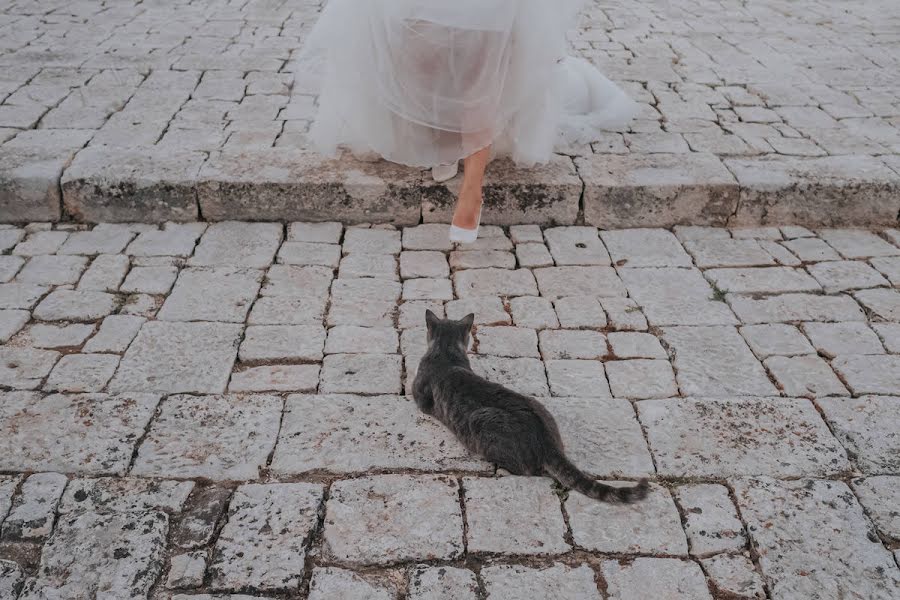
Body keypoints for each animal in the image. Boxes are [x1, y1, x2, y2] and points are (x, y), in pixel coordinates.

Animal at [412, 312, 652, 504]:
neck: (446, 353)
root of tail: (547, 440)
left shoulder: (421, 399)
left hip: (480, 421)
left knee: (526, 470)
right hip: (538, 405)